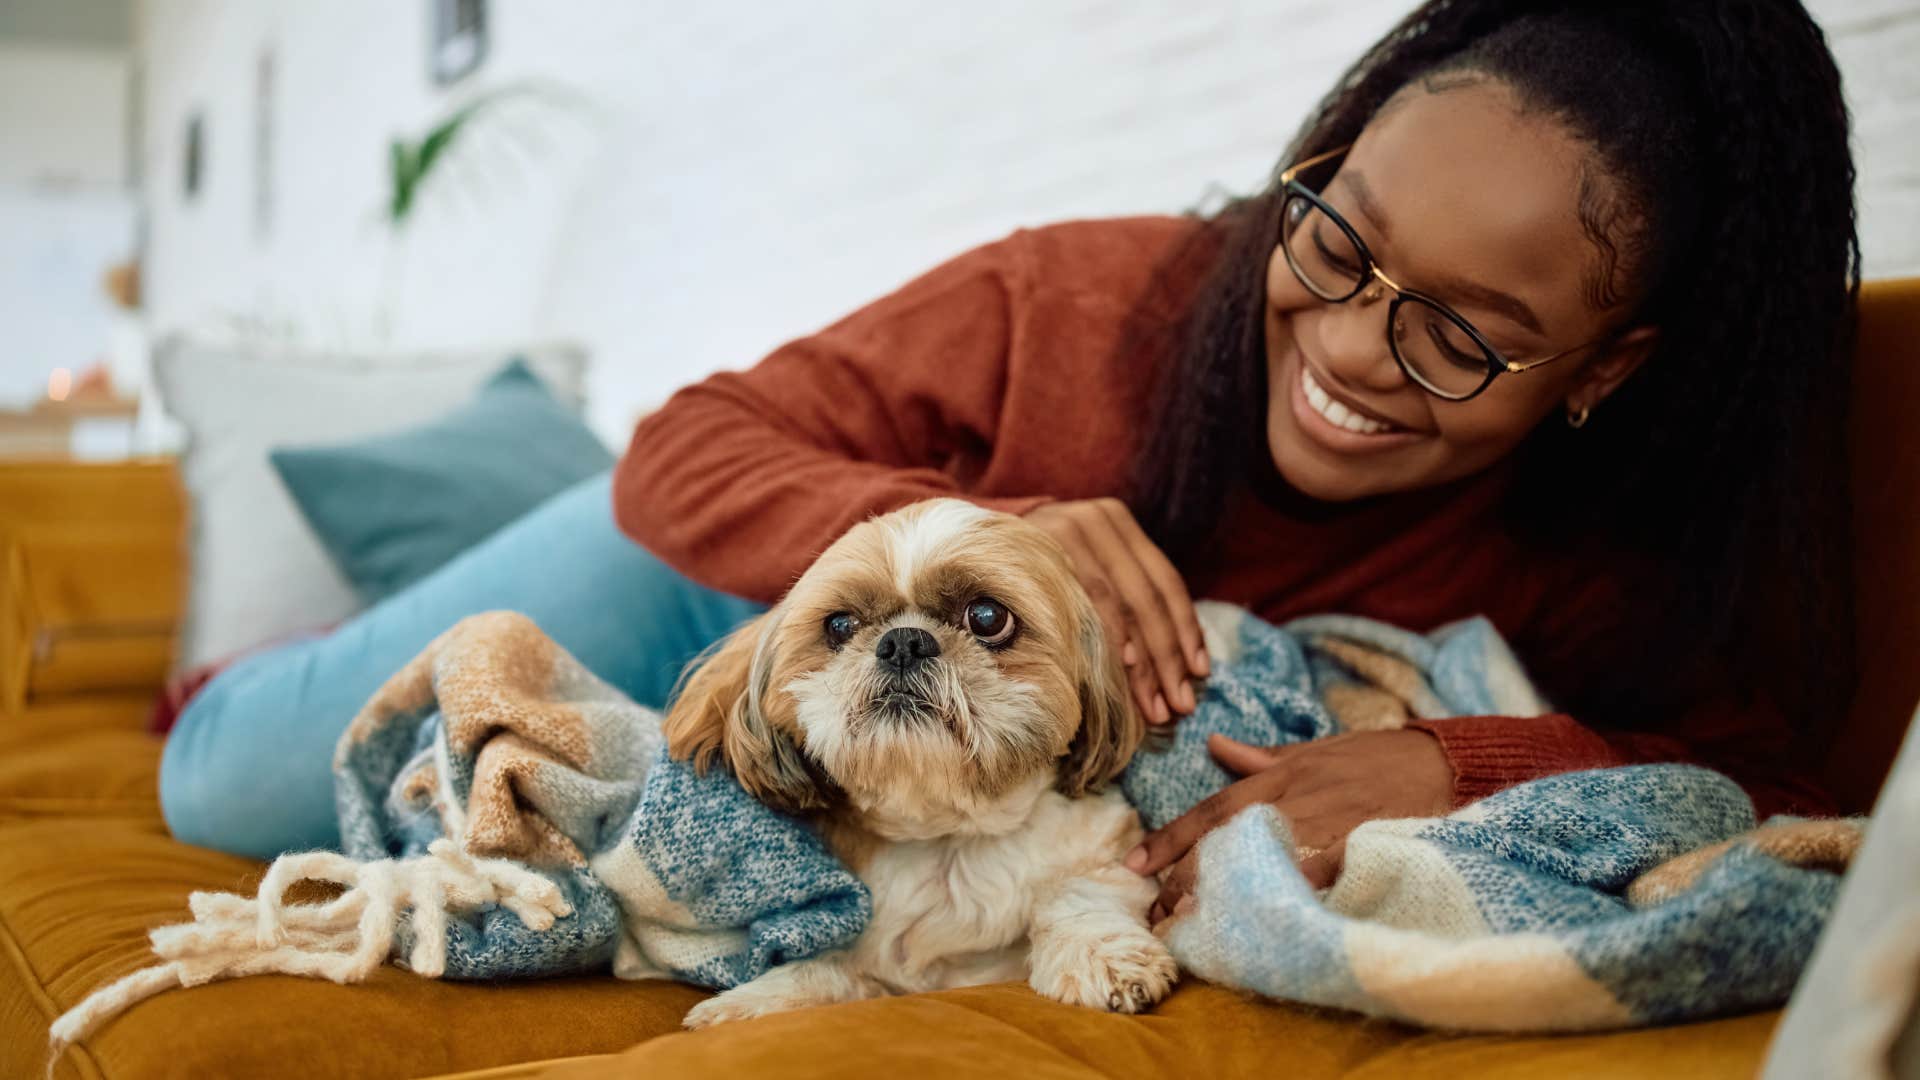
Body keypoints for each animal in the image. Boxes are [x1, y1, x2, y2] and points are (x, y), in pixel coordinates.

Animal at [664, 495, 1167, 1022]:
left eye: (987, 616)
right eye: (840, 625)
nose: (903, 640)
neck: (947, 835)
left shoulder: (1108, 851)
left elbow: (1080, 892)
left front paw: (1102, 957)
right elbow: (826, 969)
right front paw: (750, 1004)